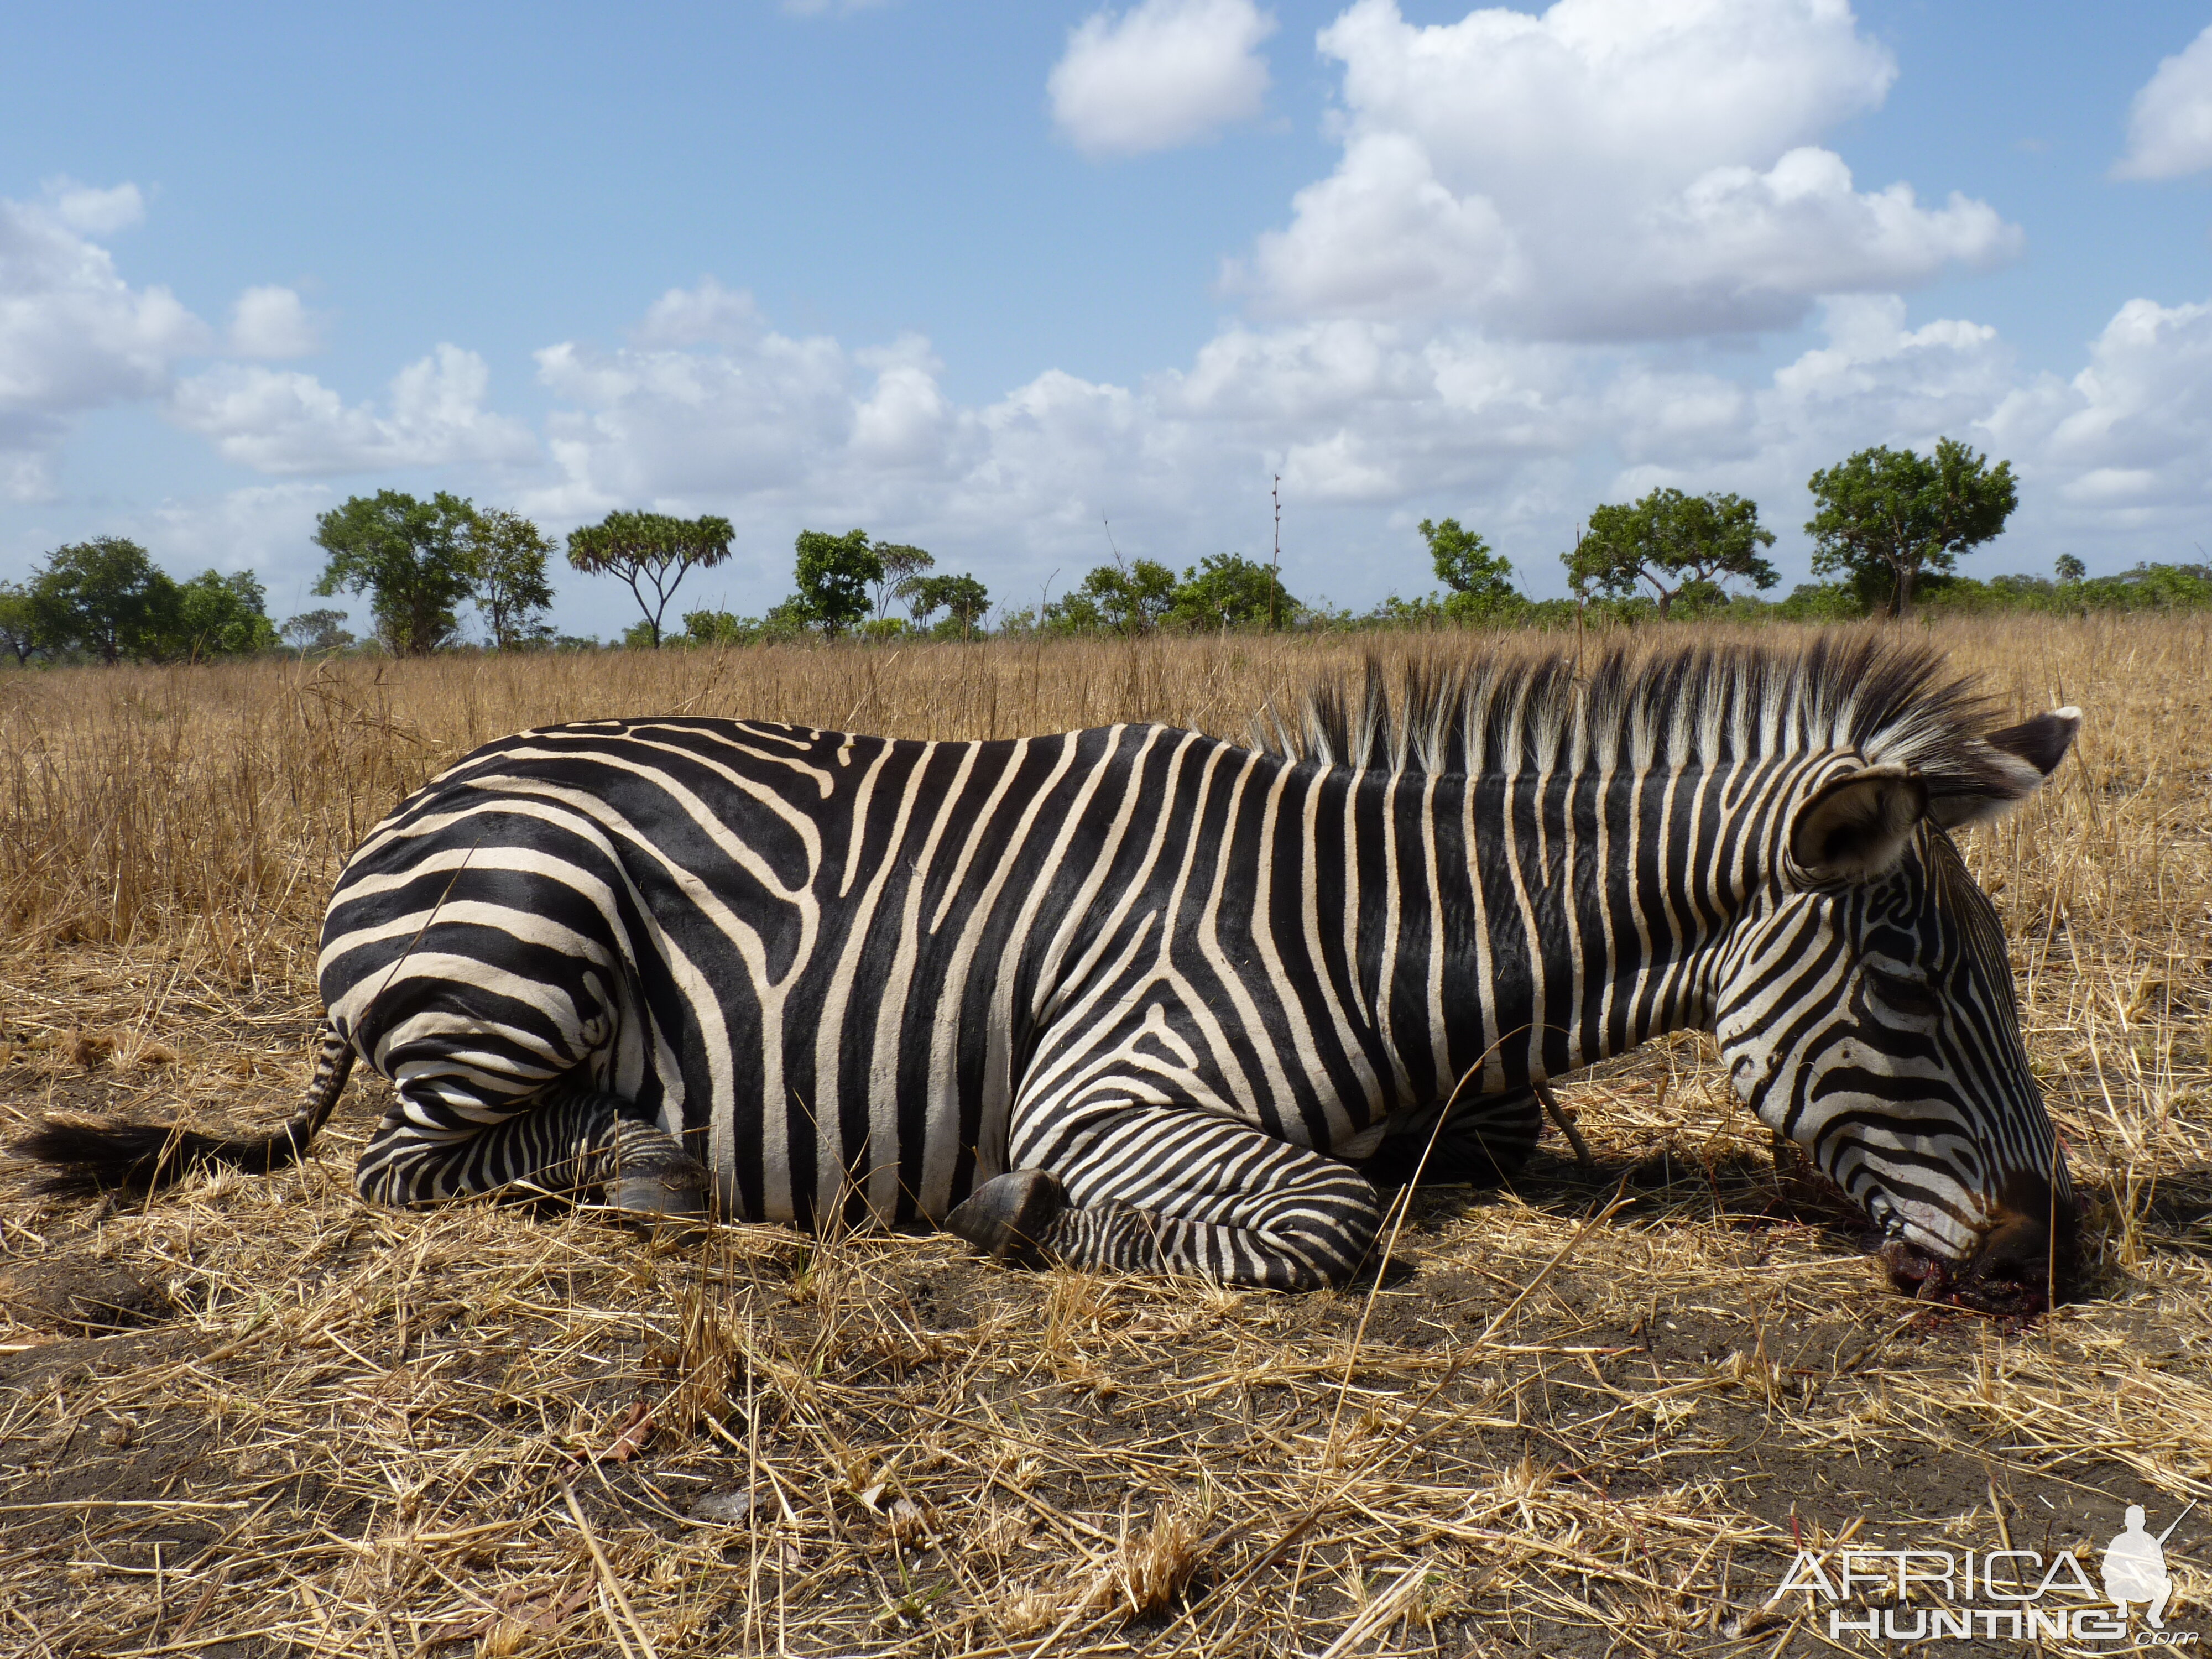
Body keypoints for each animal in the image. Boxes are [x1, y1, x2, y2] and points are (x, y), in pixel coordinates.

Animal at [17, 637, 2079, 1310]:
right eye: (1917, 982)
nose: (2044, 1249)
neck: (1367, 922)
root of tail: (423, 797)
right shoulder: (1114, 1084)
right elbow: (1325, 1221)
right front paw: (1006, 1213)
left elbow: (1472, 1136)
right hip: (528, 939)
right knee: (416, 1168)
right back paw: (651, 1164)